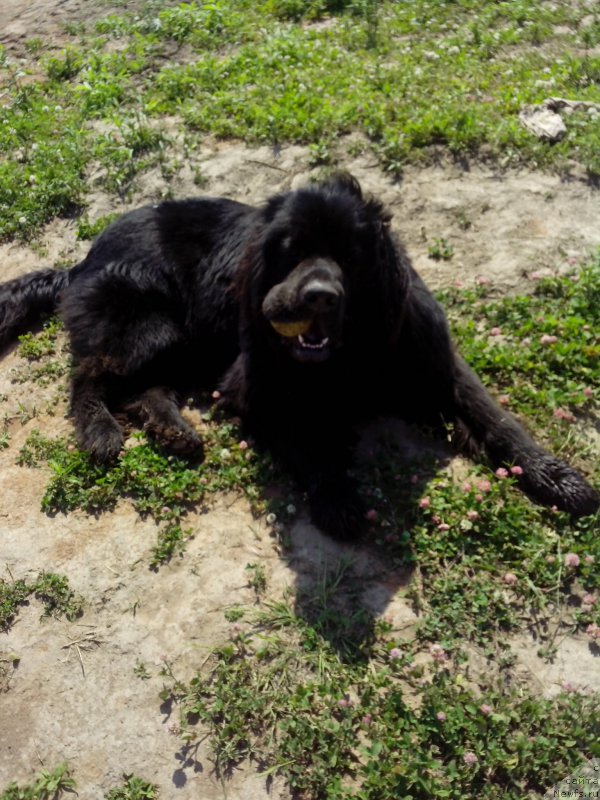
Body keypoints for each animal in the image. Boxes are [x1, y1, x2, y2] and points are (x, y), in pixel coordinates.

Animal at [0, 175, 596, 536]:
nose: (317, 296)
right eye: (288, 251)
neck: (350, 349)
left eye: (351, 255)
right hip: (149, 325)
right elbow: (304, 438)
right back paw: (100, 430)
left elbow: (498, 419)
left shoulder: (434, 364)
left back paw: (174, 430)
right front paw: (336, 496)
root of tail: (82, 258)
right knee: (90, 375)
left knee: (144, 388)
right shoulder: (254, 385)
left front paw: (557, 478)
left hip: (180, 343)